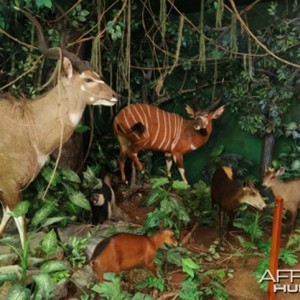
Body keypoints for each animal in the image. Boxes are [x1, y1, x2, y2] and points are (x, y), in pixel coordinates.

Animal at [0, 9, 117, 248]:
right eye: (88, 79)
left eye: (98, 75)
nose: (114, 95)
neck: (29, 127)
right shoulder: (9, 184)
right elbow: (21, 224)